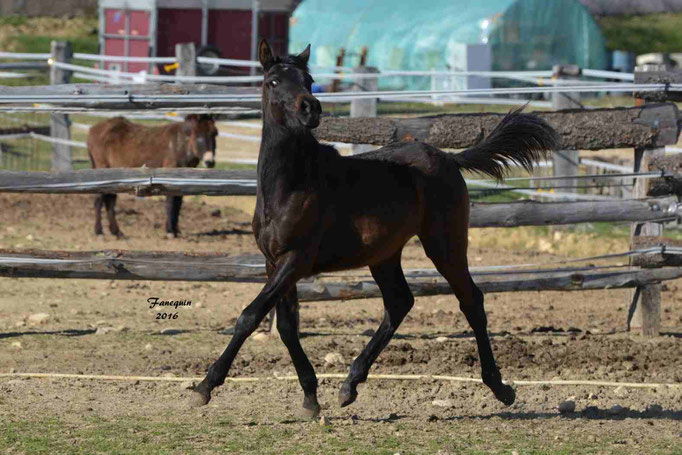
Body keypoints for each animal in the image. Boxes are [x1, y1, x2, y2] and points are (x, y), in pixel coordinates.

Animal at [86, 115, 216, 239]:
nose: (210, 162)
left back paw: (117, 232)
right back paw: (99, 232)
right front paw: (170, 231)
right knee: (99, 199)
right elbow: (171, 202)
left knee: (110, 200)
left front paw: (175, 230)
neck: (181, 144)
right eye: (198, 136)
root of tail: (93, 129)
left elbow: (178, 203)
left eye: (215, 134)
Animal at [190, 41, 556, 418]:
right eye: (273, 81)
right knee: (399, 302)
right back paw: (350, 384)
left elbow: (250, 316)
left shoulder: (296, 260)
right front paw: (310, 396)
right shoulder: (273, 262)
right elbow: (287, 326)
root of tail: (448, 158)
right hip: (384, 255)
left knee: (470, 300)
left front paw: (205, 387)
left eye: (308, 80)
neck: (290, 184)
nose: (310, 108)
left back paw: (500, 388)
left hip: (445, 244)